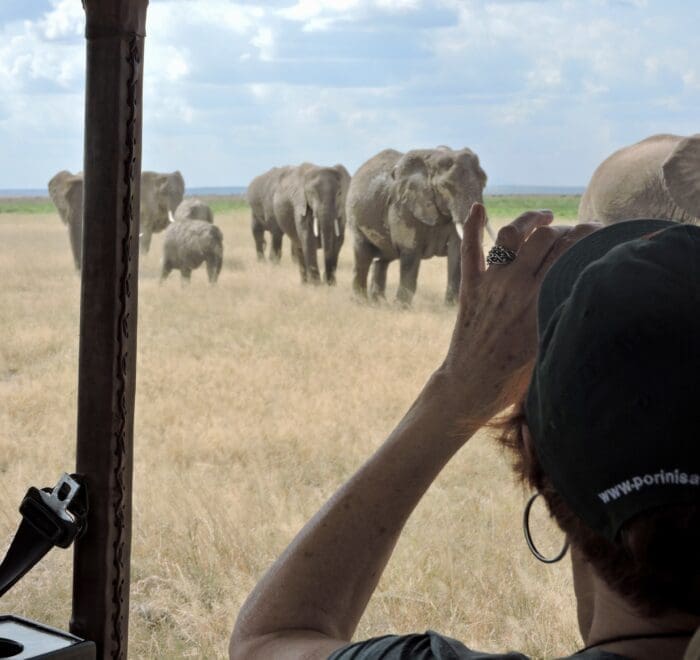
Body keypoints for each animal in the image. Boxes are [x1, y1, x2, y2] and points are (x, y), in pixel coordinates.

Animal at [346, 146, 486, 306]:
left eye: (484, 182)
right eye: (445, 186)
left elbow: (457, 251)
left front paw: (450, 307)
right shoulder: (402, 205)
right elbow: (410, 251)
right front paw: (401, 307)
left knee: (383, 260)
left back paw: (380, 302)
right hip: (353, 217)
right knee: (362, 256)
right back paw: (362, 301)